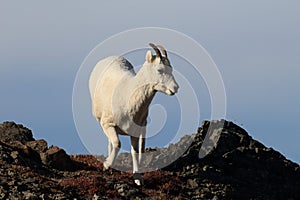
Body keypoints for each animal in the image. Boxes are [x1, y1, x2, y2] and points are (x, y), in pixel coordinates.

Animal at [88, 43, 178, 185]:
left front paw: (138, 178)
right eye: (159, 70)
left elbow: (135, 151)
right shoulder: (108, 124)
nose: (175, 88)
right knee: (110, 142)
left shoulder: (136, 132)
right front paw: (107, 165)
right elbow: (117, 144)